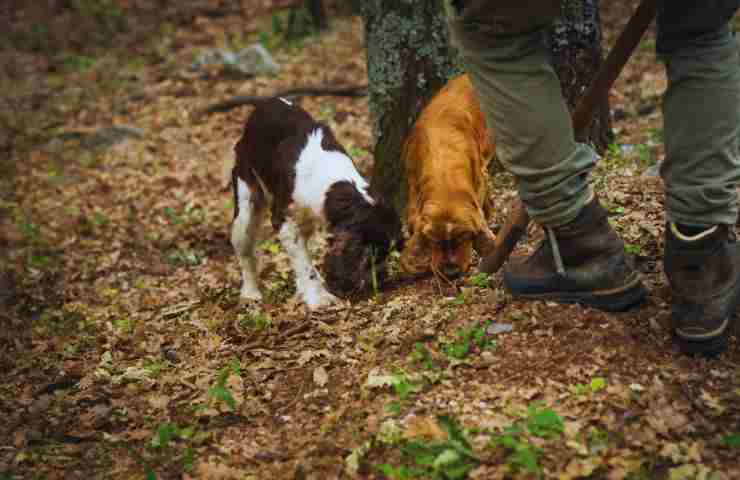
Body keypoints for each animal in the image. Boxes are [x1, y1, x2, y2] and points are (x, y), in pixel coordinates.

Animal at [228, 98, 402, 310]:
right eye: (371, 256)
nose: (383, 279)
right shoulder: (284, 219)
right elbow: (303, 262)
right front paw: (320, 298)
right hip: (245, 205)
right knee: (245, 252)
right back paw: (250, 294)